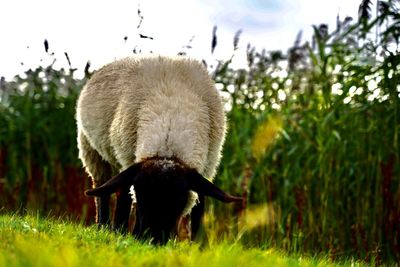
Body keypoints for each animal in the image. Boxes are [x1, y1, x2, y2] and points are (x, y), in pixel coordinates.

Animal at [76, 55, 242, 244]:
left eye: (179, 197)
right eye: (141, 193)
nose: (153, 239)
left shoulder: (206, 169)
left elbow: (199, 207)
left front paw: (196, 245)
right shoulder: (128, 160)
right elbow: (125, 199)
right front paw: (125, 234)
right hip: (93, 153)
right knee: (104, 190)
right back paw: (105, 227)